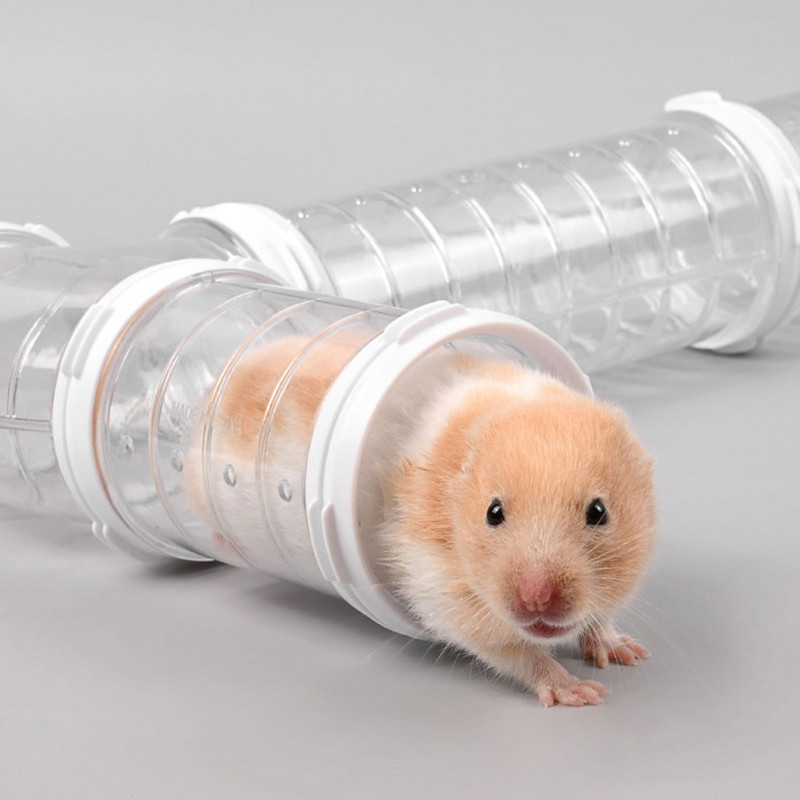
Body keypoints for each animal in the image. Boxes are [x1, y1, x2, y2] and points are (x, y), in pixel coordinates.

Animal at [192, 335, 656, 707]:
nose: (536, 600)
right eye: (493, 513)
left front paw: (628, 652)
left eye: (598, 512)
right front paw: (582, 693)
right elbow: (517, 653)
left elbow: (597, 619)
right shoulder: (442, 595)